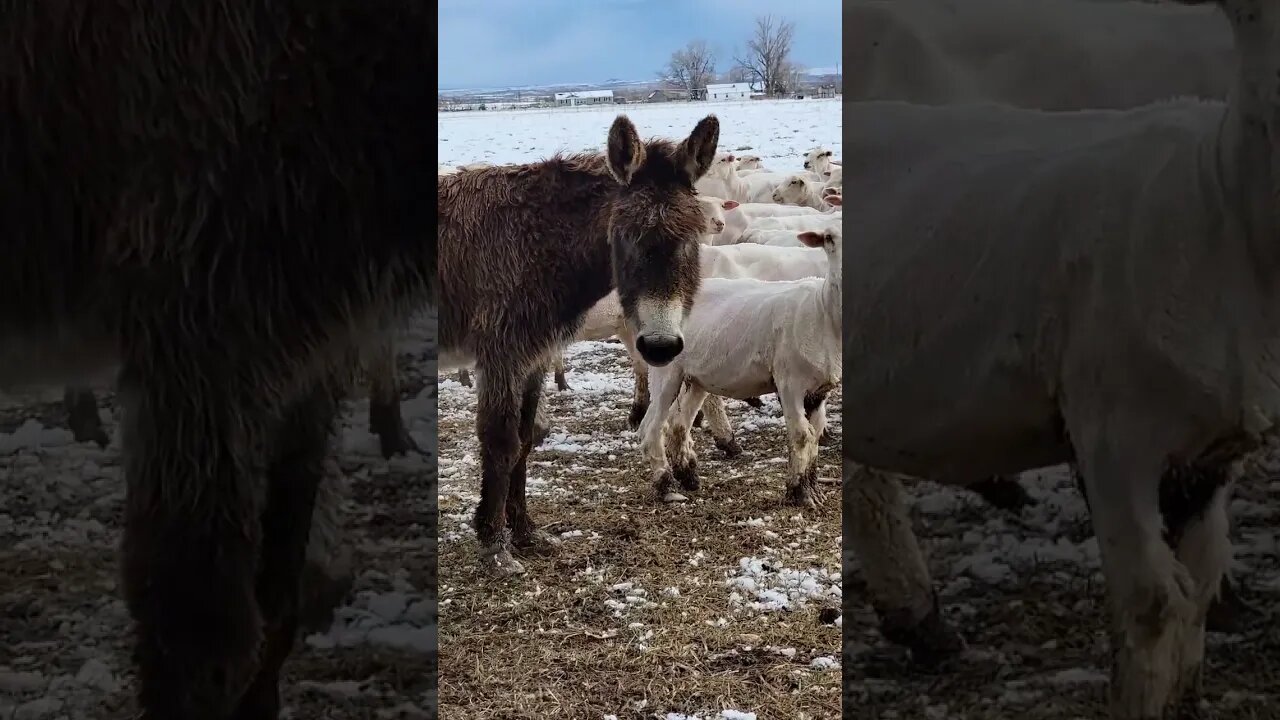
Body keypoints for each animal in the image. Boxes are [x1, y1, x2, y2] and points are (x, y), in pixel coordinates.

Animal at [637, 225, 839, 504]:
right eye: (829, 238)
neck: (822, 311)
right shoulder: (789, 382)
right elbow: (801, 435)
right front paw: (800, 493)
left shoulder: (820, 389)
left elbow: (815, 434)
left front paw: (814, 490)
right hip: (667, 370)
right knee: (651, 428)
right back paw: (666, 486)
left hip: (697, 377)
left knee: (679, 425)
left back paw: (689, 477)